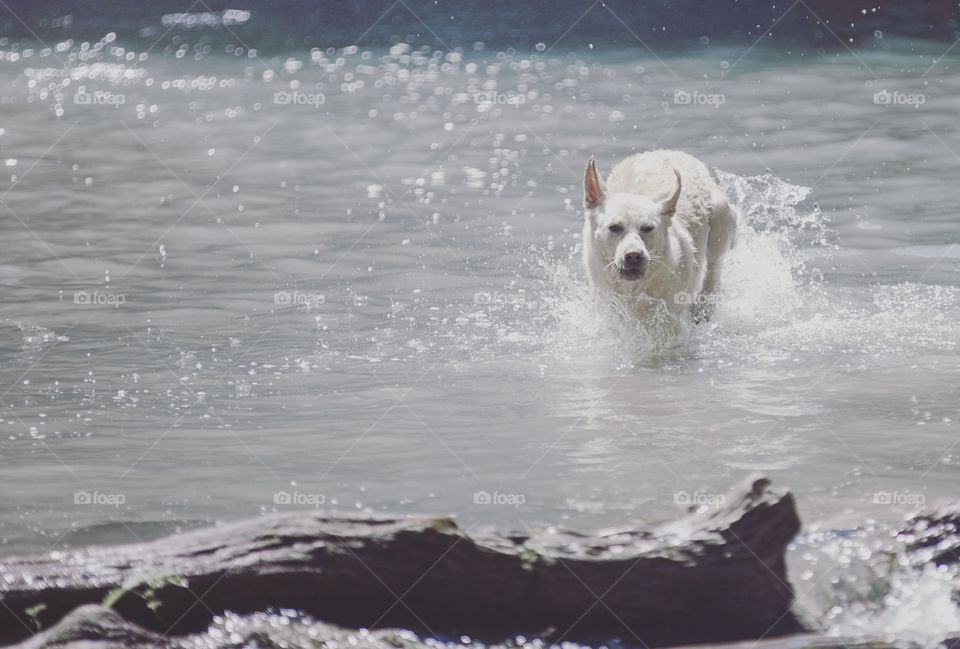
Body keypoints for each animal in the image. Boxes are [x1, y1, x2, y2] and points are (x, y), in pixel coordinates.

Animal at [580, 150, 740, 322]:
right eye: (614, 227)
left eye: (648, 228)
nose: (633, 255)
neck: (636, 287)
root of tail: (675, 151)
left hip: (720, 213)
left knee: (713, 267)